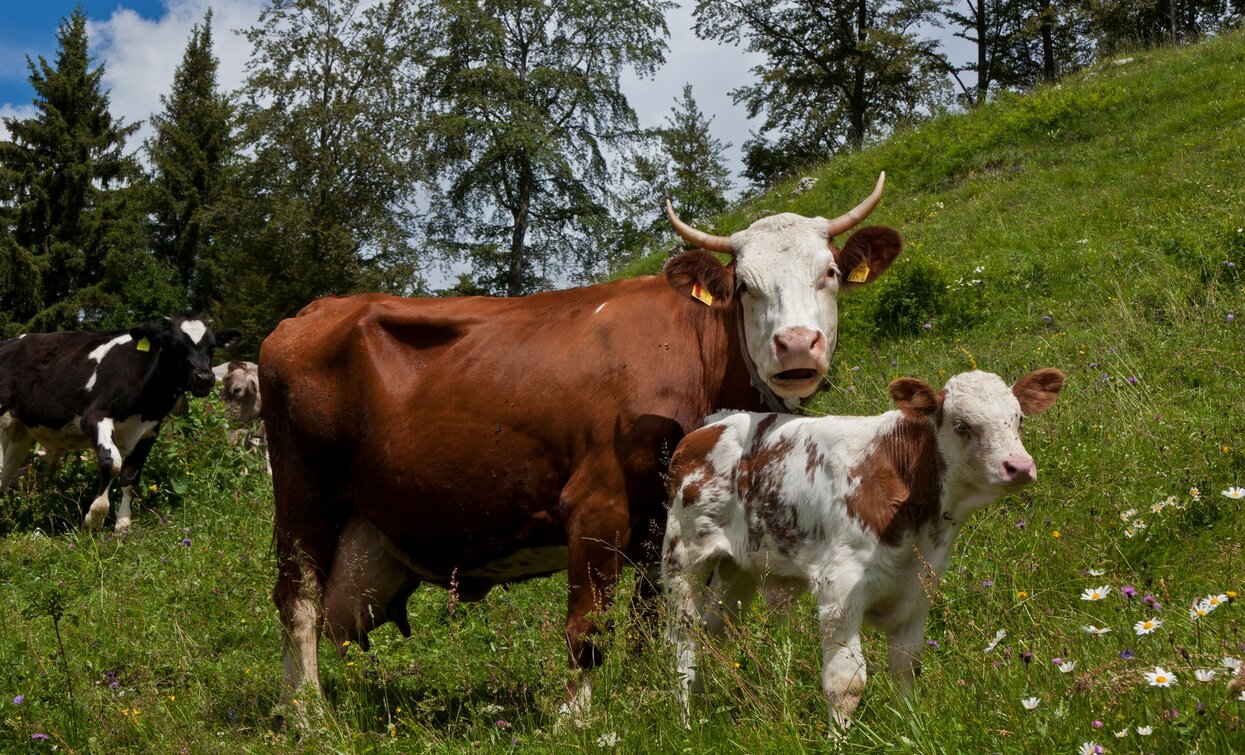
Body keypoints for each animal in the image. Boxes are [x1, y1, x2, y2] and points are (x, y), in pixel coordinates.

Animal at [0, 316, 240, 535]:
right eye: (175, 345)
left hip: (21, 432)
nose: (204, 378)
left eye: (211, 347)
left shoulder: (149, 430)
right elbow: (111, 463)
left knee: (5, 473)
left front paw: (123, 524)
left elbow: (131, 475)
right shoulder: (95, 417)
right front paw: (94, 517)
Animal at [265, 173, 906, 722]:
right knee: (296, 602)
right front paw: (574, 718)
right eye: (744, 286)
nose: (796, 344)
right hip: (303, 499)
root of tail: (313, 310)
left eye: (829, 272)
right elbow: (589, 624)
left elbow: (649, 617)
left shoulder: (660, 520)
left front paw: (644, 693)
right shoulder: (599, 503)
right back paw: (309, 715)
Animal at [667, 368, 1065, 732]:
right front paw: (838, 741)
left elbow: (906, 666)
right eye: (962, 425)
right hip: (682, 560)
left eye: (1018, 419)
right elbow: (846, 682)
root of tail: (711, 424)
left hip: (740, 571)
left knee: (713, 632)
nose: (1019, 466)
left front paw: (912, 731)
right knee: (683, 644)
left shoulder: (919, 588)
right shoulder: (839, 588)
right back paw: (686, 726)